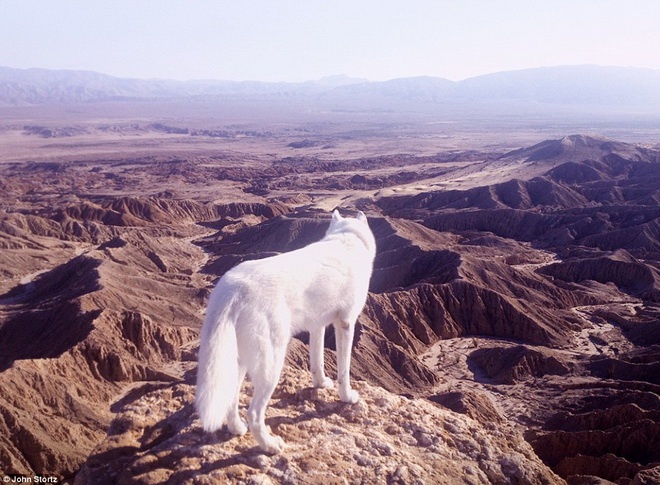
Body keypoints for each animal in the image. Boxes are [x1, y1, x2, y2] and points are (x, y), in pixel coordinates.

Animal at [195, 210, 376, 453]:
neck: (346, 239)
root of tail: (233, 291)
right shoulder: (346, 324)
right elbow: (344, 370)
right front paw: (347, 397)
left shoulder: (317, 326)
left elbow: (317, 361)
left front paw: (321, 384)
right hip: (271, 364)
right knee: (254, 413)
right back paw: (270, 445)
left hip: (239, 359)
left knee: (232, 398)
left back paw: (236, 428)